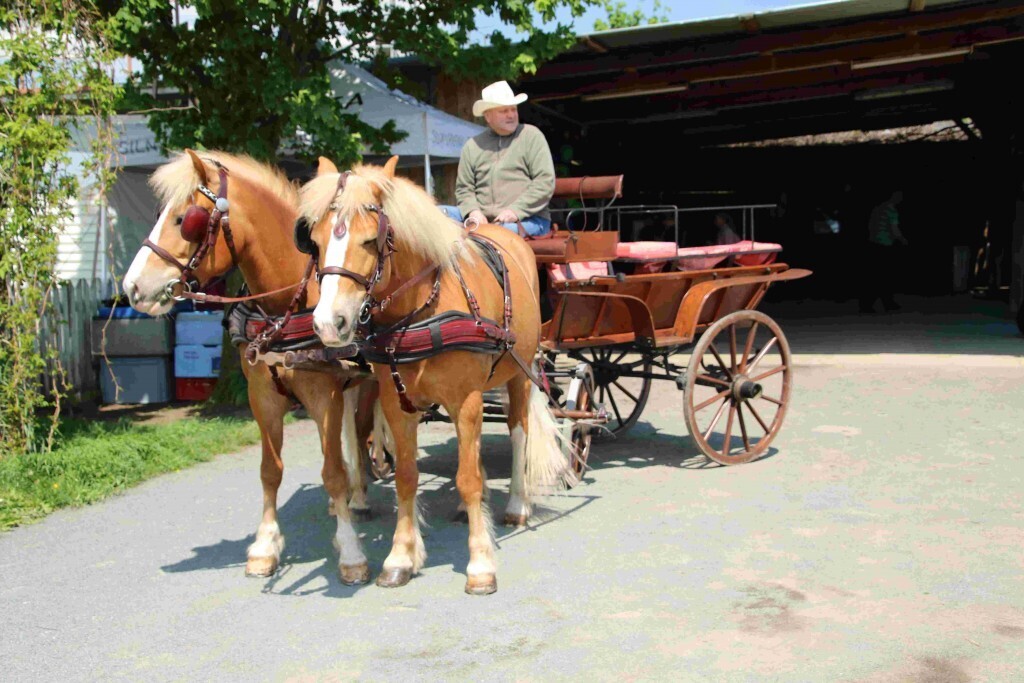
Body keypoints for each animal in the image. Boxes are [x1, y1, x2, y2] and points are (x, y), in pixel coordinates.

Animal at [120, 152, 376, 585]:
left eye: (185, 219)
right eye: (159, 212)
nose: (133, 287)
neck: (285, 306)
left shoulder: (323, 395)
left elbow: (332, 471)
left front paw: (351, 553)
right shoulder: (262, 395)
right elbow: (270, 470)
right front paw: (264, 546)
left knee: (360, 433)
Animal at [299, 154, 569, 593]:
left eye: (370, 241)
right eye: (316, 241)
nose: (328, 323)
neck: (422, 310)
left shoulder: (468, 400)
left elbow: (469, 478)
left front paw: (480, 563)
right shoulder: (398, 404)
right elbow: (408, 476)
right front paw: (400, 557)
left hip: (518, 373)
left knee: (518, 432)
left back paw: (516, 504)